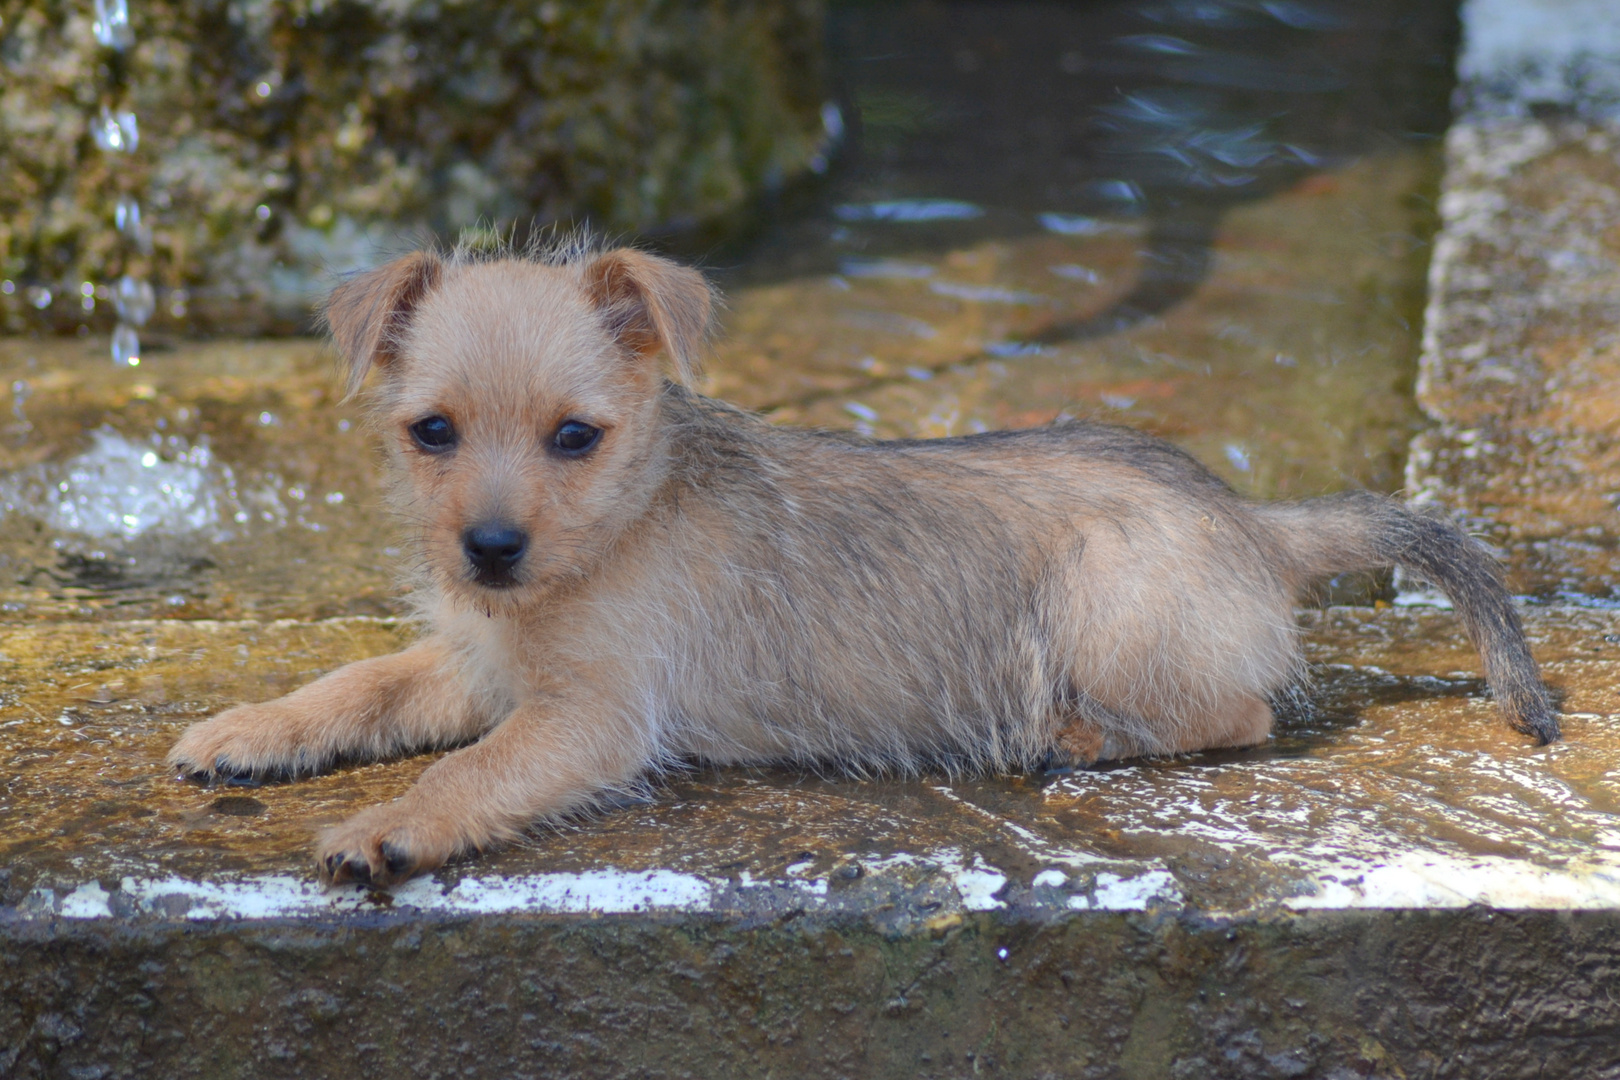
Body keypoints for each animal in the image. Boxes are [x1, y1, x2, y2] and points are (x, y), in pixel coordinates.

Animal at [167, 242, 1555, 887]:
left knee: (1240, 713)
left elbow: (467, 773)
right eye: (431, 433)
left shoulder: (584, 721)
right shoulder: (482, 664)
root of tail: (1259, 524)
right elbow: (359, 686)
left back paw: (1073, 736)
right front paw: (248, 728)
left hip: (1117, 617)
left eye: (574, 436)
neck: (619, 523)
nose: (489, 551)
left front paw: (388, 827)